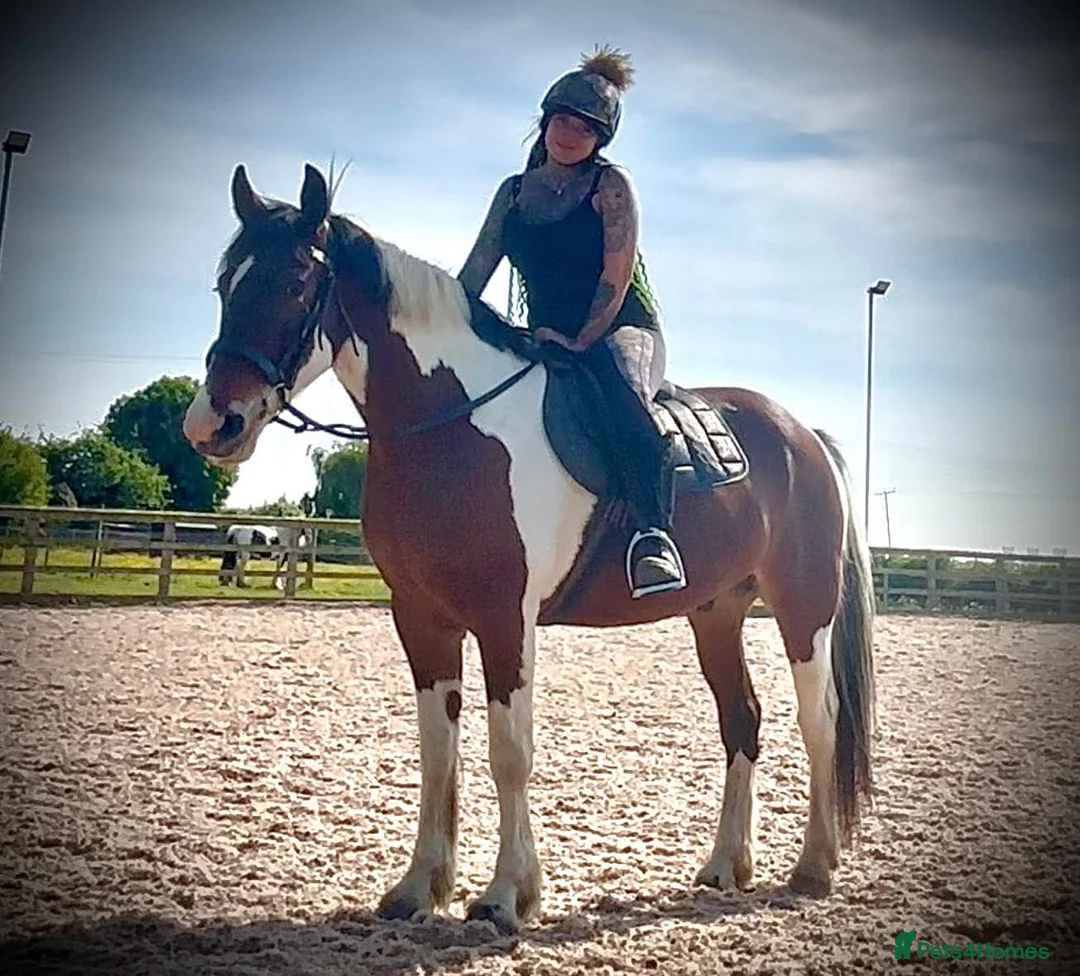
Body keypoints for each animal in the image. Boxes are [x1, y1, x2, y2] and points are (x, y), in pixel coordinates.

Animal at [183, 163, 876, 934]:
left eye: (295, 282)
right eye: (225, 285)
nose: (213, 424)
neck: (452, 426)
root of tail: (802, 435)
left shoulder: (504, 618)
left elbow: (508, 753)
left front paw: (505, 895)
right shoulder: (420, 619)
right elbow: (438, 754)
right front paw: (418, 887)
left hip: (803, 610)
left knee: (820, 724)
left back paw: (814, 866)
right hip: (716, 615)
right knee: (742, 722)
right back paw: (727, 865)